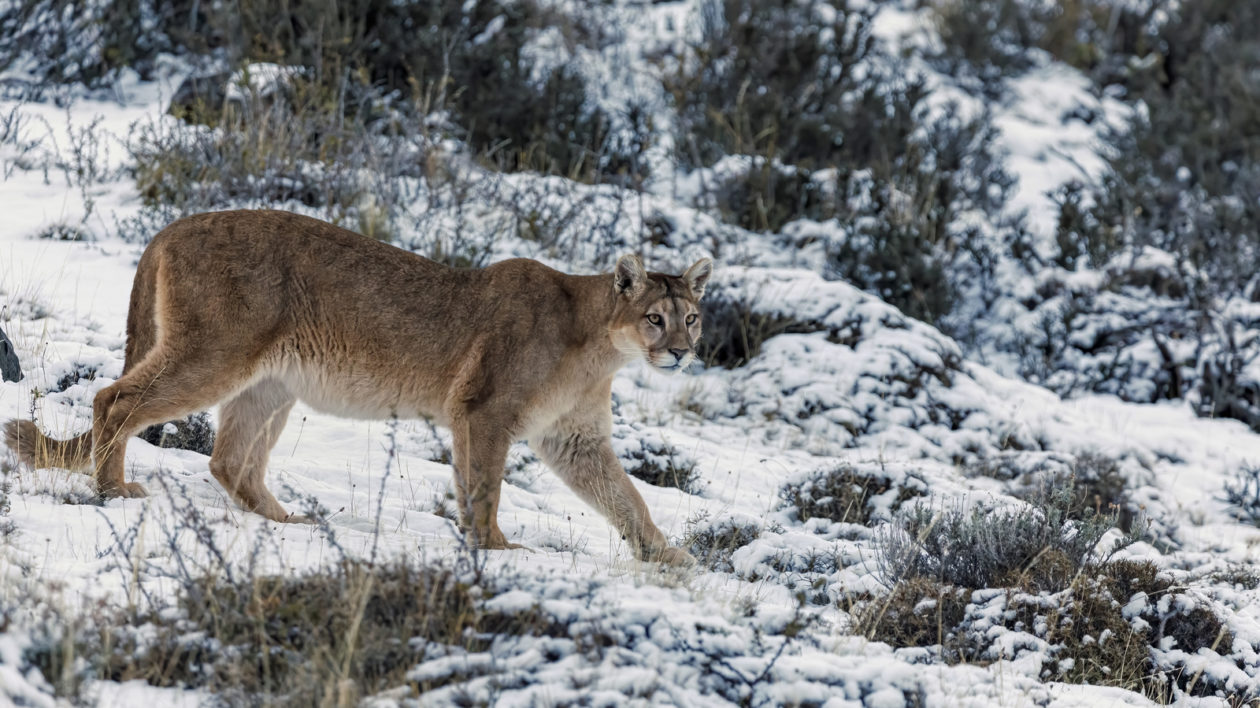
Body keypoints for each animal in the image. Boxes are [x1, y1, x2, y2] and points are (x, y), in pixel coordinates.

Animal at [2, 209, 710, 561]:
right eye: (655, 317)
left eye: (693, 317)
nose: (681, 353)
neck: (596, 345)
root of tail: (172, 225)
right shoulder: (483, 411)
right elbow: (483, 486)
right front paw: (493, 545)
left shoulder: (574, 439)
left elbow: (626, 497)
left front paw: (663, 553)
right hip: (215, 353)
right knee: (114, 398)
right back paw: (113, 488)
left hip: (269, 380)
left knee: (227, 458)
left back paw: (284, 518)